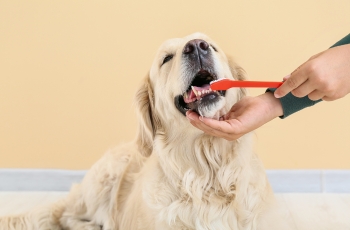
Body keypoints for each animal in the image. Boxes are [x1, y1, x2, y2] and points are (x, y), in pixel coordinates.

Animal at [0, 32, 290, 230]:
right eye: (166, 59)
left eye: (212, 45)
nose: (197, 46)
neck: (206, 169)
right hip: (104, 178)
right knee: (68, 217)